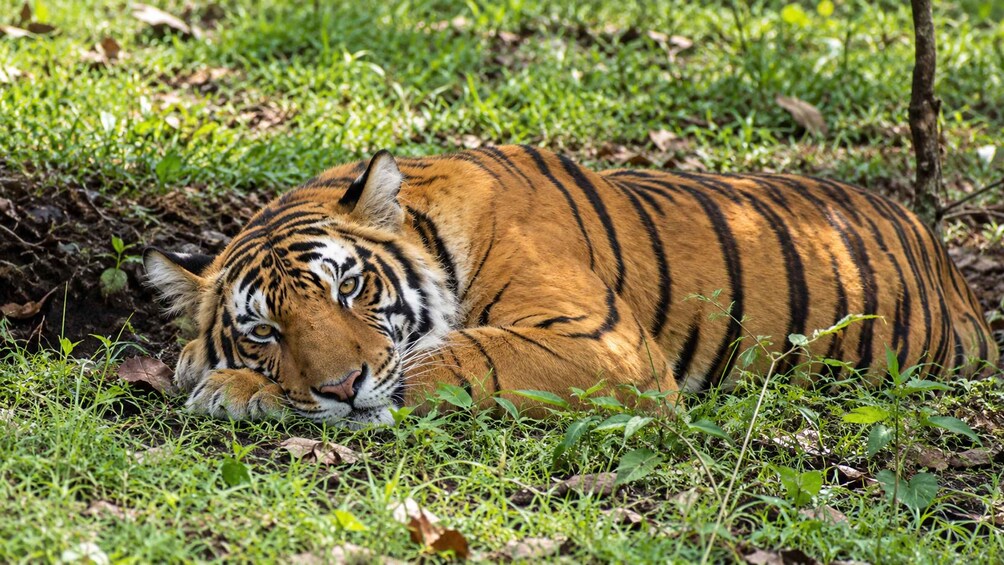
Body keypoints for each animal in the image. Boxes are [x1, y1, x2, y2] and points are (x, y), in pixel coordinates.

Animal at [144, 145, 998, 427]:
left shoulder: (607, 346)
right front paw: (215, 372)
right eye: (264, 330)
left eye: (348, 288)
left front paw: (230, 387)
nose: (341, 386)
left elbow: (452, 356)